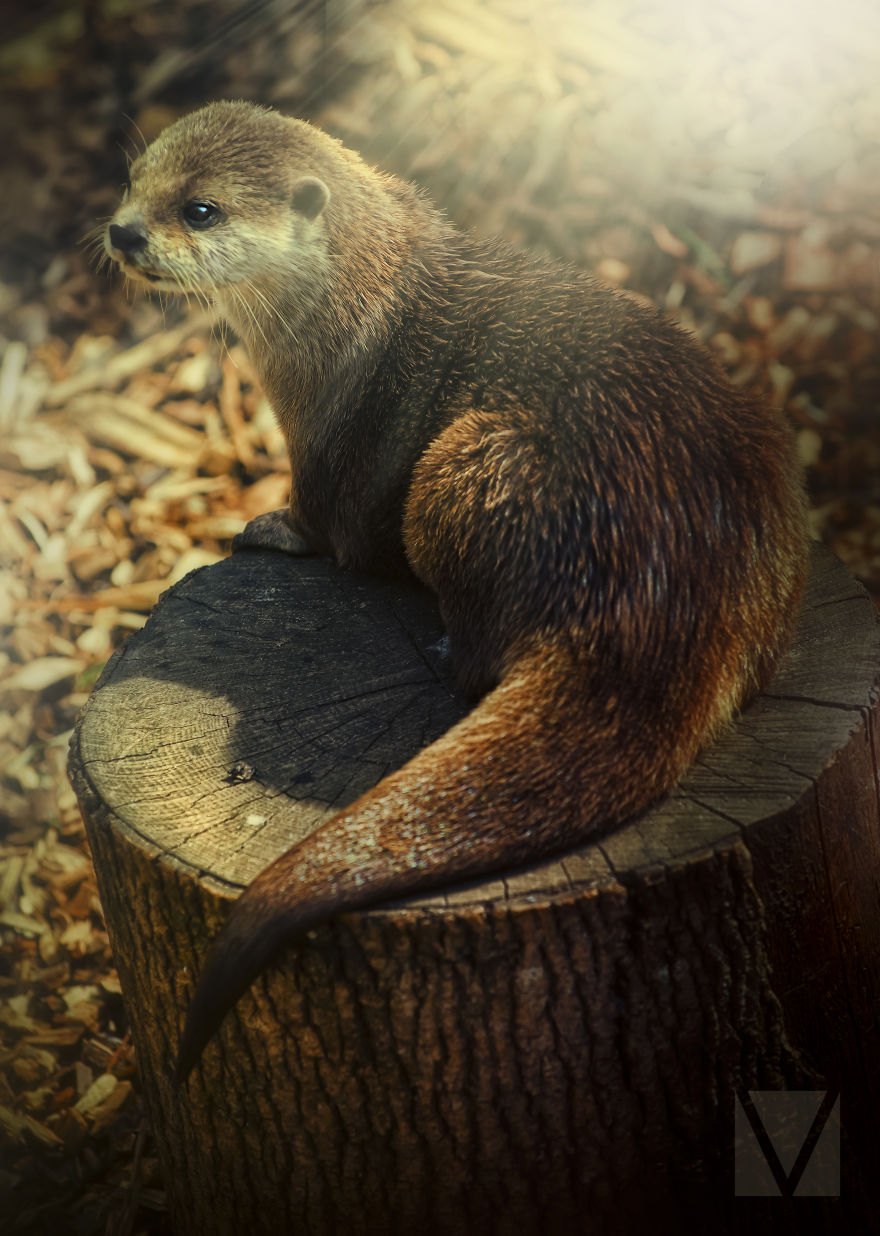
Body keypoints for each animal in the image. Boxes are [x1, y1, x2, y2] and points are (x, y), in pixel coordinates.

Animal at [104, 101, 808, 1083]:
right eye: (136, 180)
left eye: (199, 209)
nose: (125, 231)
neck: (351, 319)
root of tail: (671, 582)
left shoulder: (334, 438)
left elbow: (327, 527)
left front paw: (266, 528)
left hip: (466, 466)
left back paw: (442, 646)